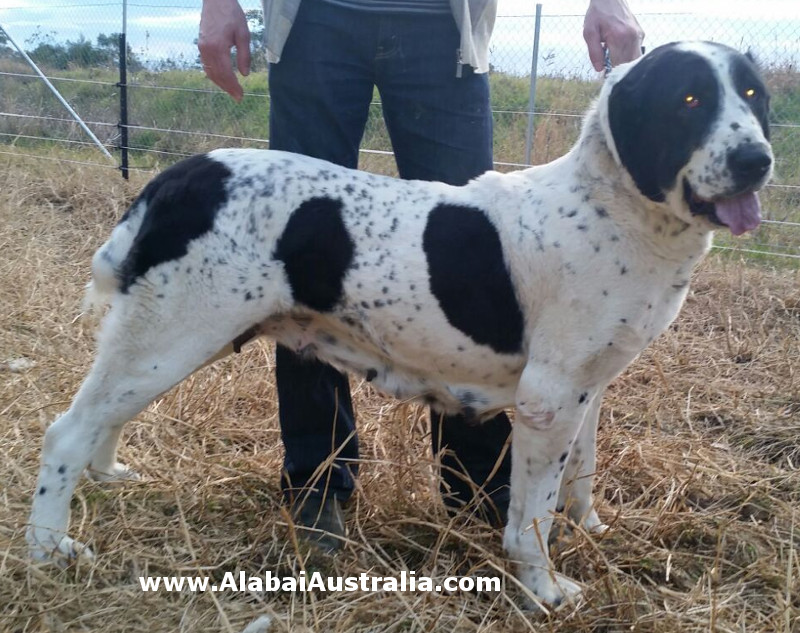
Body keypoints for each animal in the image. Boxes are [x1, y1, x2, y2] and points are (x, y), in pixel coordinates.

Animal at [28, 42, 772, 604]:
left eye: (754, 95)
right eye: (689, 101)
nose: (757, 160)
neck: (612, 204)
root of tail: (182, 176)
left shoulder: (590, 385)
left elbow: (580, 474)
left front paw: (586, 528)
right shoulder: (550, 396)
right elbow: (530, 514)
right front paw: (543, 589)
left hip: (166, 338)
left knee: (104, 416)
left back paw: (108, 476)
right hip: (173, 335)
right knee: (67, 430)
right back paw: (48, 548)